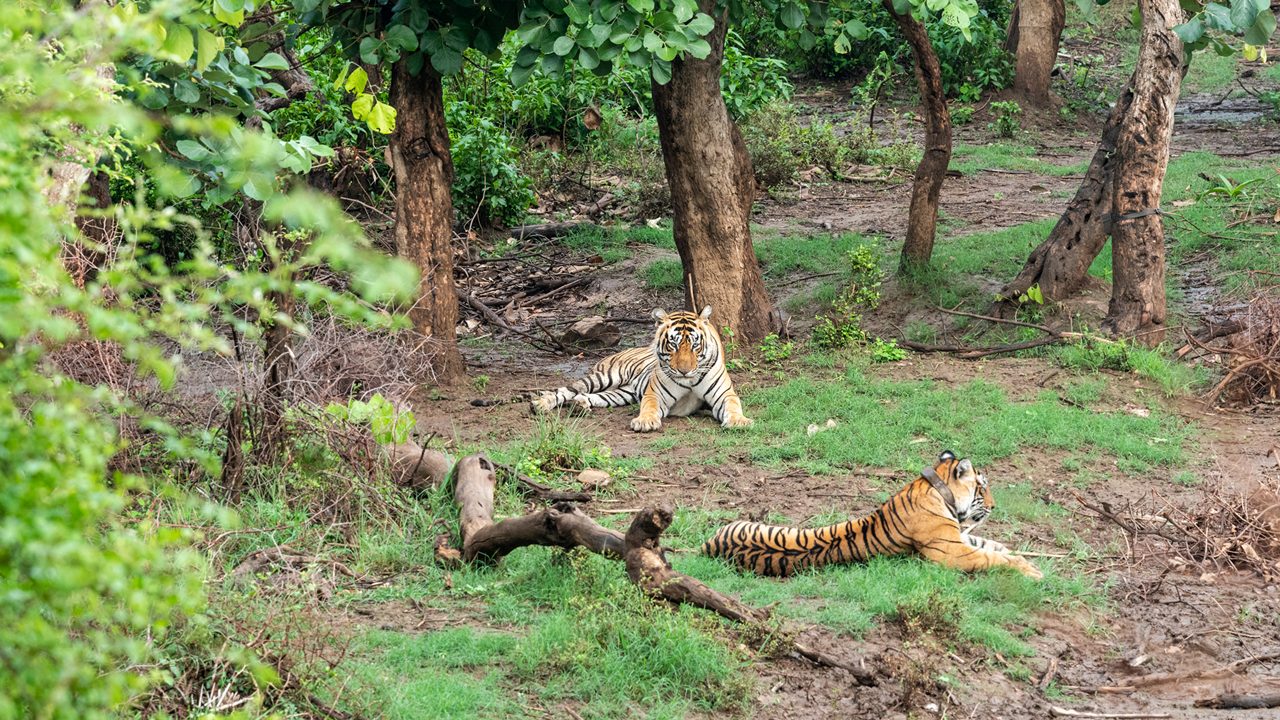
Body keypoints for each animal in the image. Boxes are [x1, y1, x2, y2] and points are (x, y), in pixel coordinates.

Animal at [527, 303, 747, 430]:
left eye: (694, 345)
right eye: (673, 344)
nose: (684, 371)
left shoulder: (724, 394)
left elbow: (733, 405)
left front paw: (739, 421)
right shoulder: (655, 394)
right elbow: (649, 407)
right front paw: (645, 422)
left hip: (623, 393)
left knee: (592, 397)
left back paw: (579, 405)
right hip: (603, 377)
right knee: (566, 390)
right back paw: (541, 404)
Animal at [701, 450, 1039, 579]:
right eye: (982, 487)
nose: (994, 506)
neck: (935, 488)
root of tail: (708, 545)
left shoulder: (958, 539)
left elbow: (993, 546)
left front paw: (1025, 557)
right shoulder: (953, 552)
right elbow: (991, 557)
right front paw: (1032, 571)